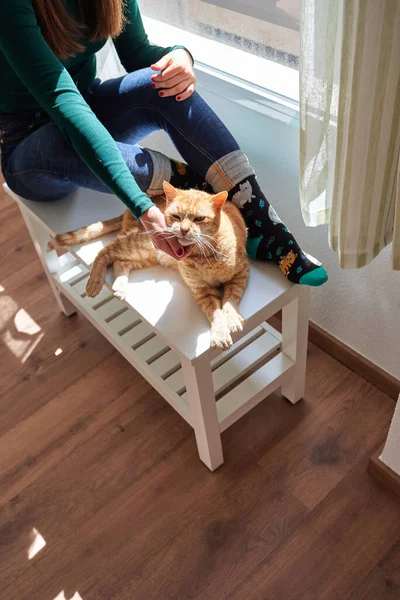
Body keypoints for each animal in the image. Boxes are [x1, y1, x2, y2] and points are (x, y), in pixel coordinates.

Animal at [48, 183, 248, 352]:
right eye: (176, 216)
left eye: (199, 219)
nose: (184, 230)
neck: (203, 255)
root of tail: (127, 211)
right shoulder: (201, 289)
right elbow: (215, 312)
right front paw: (220, 334)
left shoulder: (241, 274)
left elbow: (230, 299)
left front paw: (232, 319)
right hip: (138, 244)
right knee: (105, 251)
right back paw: (94, 282)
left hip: (147, 255)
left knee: (120, 262)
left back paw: (120, 286)